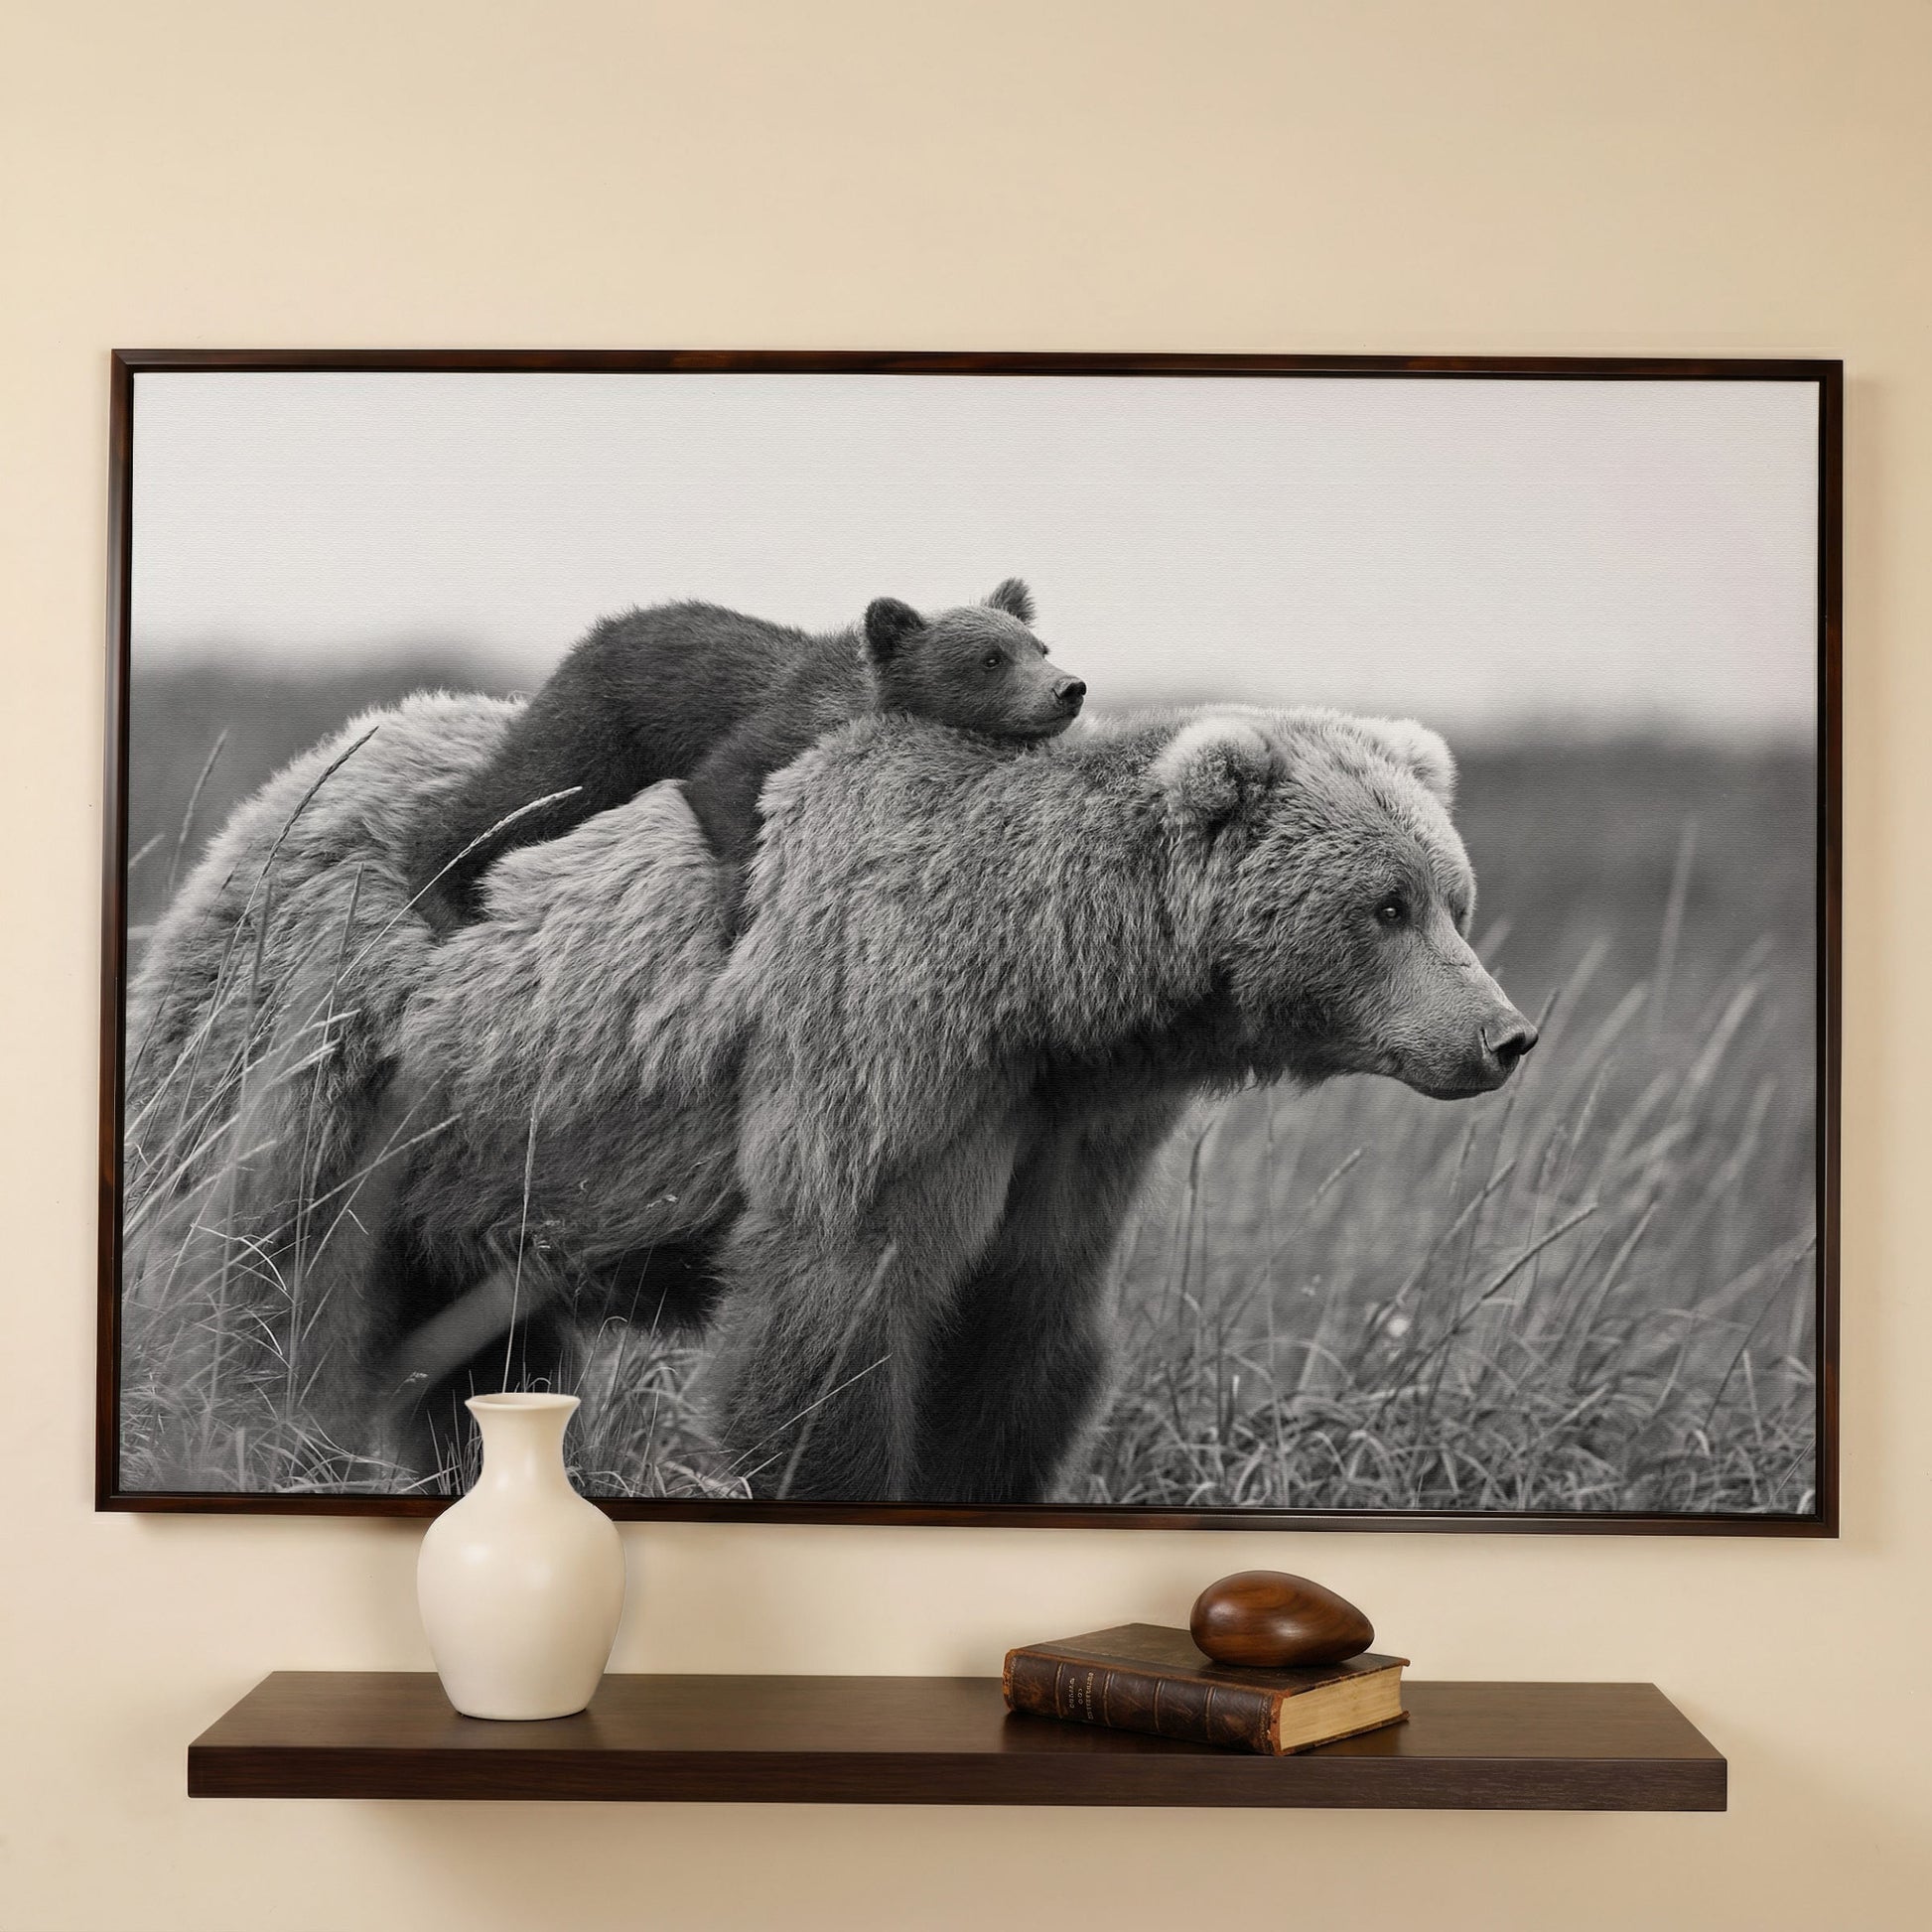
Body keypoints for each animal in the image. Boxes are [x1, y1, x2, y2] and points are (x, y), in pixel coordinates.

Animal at [124, 686, 1536, 1504]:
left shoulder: (1069, 1130)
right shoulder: (884, 1048)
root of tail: (293, 777)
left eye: (1452, 895)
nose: (1503, 1033)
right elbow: (832, 1309)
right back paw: (245, 1435)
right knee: (262, 1269)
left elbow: (1023, 1333)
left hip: (479, 1156)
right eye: (1386, 904)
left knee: (473, 1351)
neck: (1047, 982)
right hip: (329, 1050)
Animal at [405, 577, 1085, 931]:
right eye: (990, 659)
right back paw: (443, 893)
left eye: (1039, 646)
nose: (1069, 688)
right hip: (599, 730)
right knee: (522, 794)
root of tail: (589, 637)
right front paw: (740, 909)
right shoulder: (775, 727)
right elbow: (725, 786)